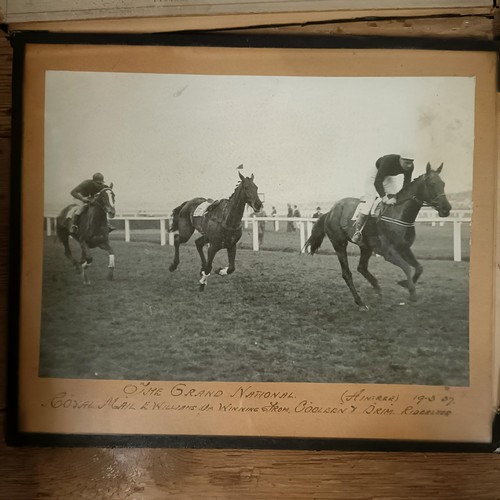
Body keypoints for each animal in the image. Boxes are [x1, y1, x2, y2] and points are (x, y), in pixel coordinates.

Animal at [304, 163, 454, 308]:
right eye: (432, 183)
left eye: (443, 183)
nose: (446, 208)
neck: (399, 213)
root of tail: (330, 211)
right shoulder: (389, 253)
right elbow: (407, 267)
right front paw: (412, 292)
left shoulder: (404, 248)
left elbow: (419, 267)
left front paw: (405, 283)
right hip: (339, 243)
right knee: (347, 273)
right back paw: (360, 302)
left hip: (366, 246)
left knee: (362, 268)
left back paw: (377, 289)